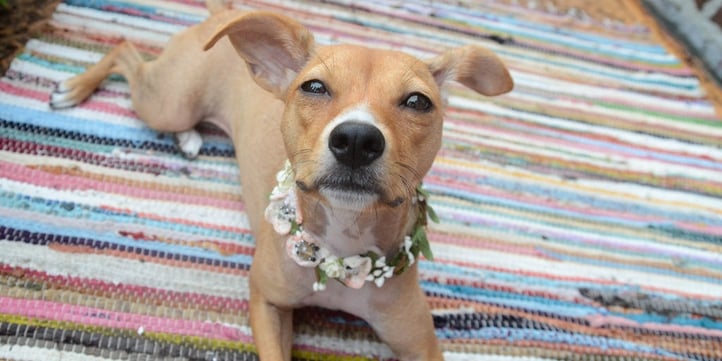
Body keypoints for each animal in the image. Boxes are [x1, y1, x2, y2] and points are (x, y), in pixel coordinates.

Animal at [50, 2, 512, 358]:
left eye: (418, 101)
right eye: (314, 87)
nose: (357, 139)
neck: (342, 252)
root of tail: (229, 12)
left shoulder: (420, 344)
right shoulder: (266, 301)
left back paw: (187, 138)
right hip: (168, 101)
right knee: (124, 50)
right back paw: (75, 87)